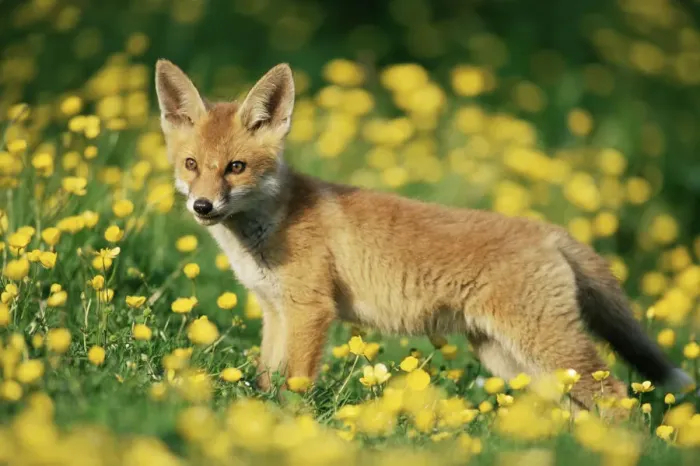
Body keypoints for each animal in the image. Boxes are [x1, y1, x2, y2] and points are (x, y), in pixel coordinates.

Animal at [154, 59, 693, 411]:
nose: (202, 206)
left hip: (543, 346)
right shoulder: (274, 310)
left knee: (617, 396)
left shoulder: (311, 310)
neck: (272, 225)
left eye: (236, 168)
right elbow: (267, 377)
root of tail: (550, 231)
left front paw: (288, 424)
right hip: (507, 356)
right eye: (192, 165)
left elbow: (296, 384)